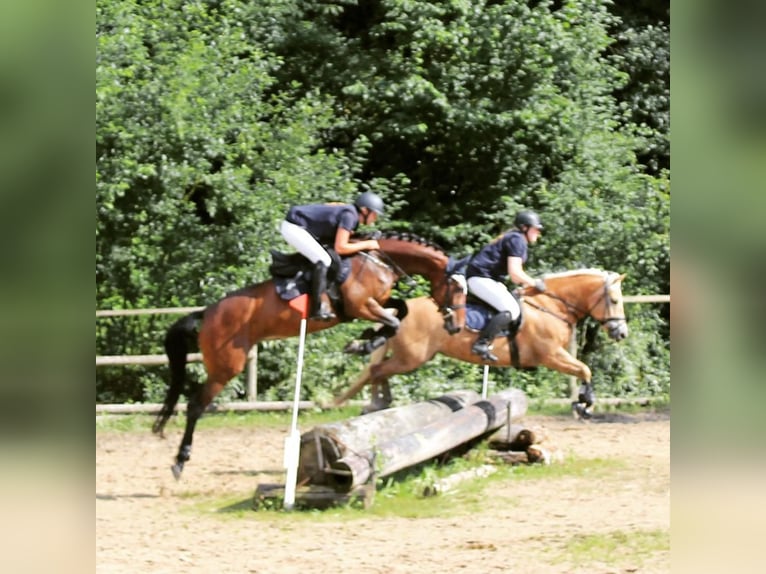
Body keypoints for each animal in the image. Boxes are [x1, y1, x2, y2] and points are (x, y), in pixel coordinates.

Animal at [152, 232, 468, 480]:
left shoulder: (376, 302)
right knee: (195, 406)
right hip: (226, 366)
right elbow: (394, 320)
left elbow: (400, 310)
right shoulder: (360, 305)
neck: (378, 259)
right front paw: (364, 343)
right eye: (456, 287)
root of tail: (206, 313)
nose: (456, 326)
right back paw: (180, 462)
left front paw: (364, 341)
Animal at [336, 270, 632, 418]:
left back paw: (380, 403)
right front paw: (585, 405)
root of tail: (400, 312)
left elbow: (584, 370)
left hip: (410, 358)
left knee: (378, 371)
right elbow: (585, 369)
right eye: (615, 300)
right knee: (377, 371)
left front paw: (583, 403)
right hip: (412, 358)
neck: (551, 305)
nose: (621, 333)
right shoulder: (551, 355)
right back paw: (375, 404)